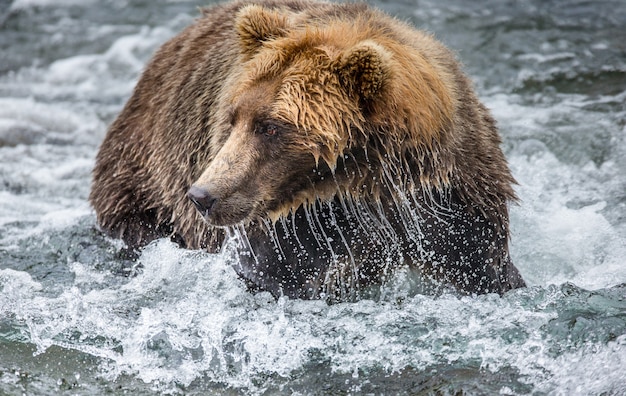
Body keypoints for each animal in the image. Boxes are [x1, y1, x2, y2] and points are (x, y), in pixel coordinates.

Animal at [90, 0, 524, 298]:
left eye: (270, 127)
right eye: (233, 117)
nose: (202, 195)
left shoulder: (447, 197)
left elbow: (482, 263)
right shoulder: (291, 226)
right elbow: (273, 272)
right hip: (143, 175)